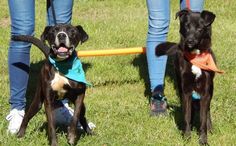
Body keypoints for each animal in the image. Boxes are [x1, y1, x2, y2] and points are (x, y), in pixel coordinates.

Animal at [155, 9, 223, 145]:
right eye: (186, 26)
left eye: (200, 28)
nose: (189, 41)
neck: (195, 55)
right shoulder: (185, 91)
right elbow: (187, 116)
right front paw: (186, 137)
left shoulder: (205, 92)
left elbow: (202, 120)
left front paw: (203, 140)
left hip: (210, 90)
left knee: (207, 111)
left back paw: (210, 128)